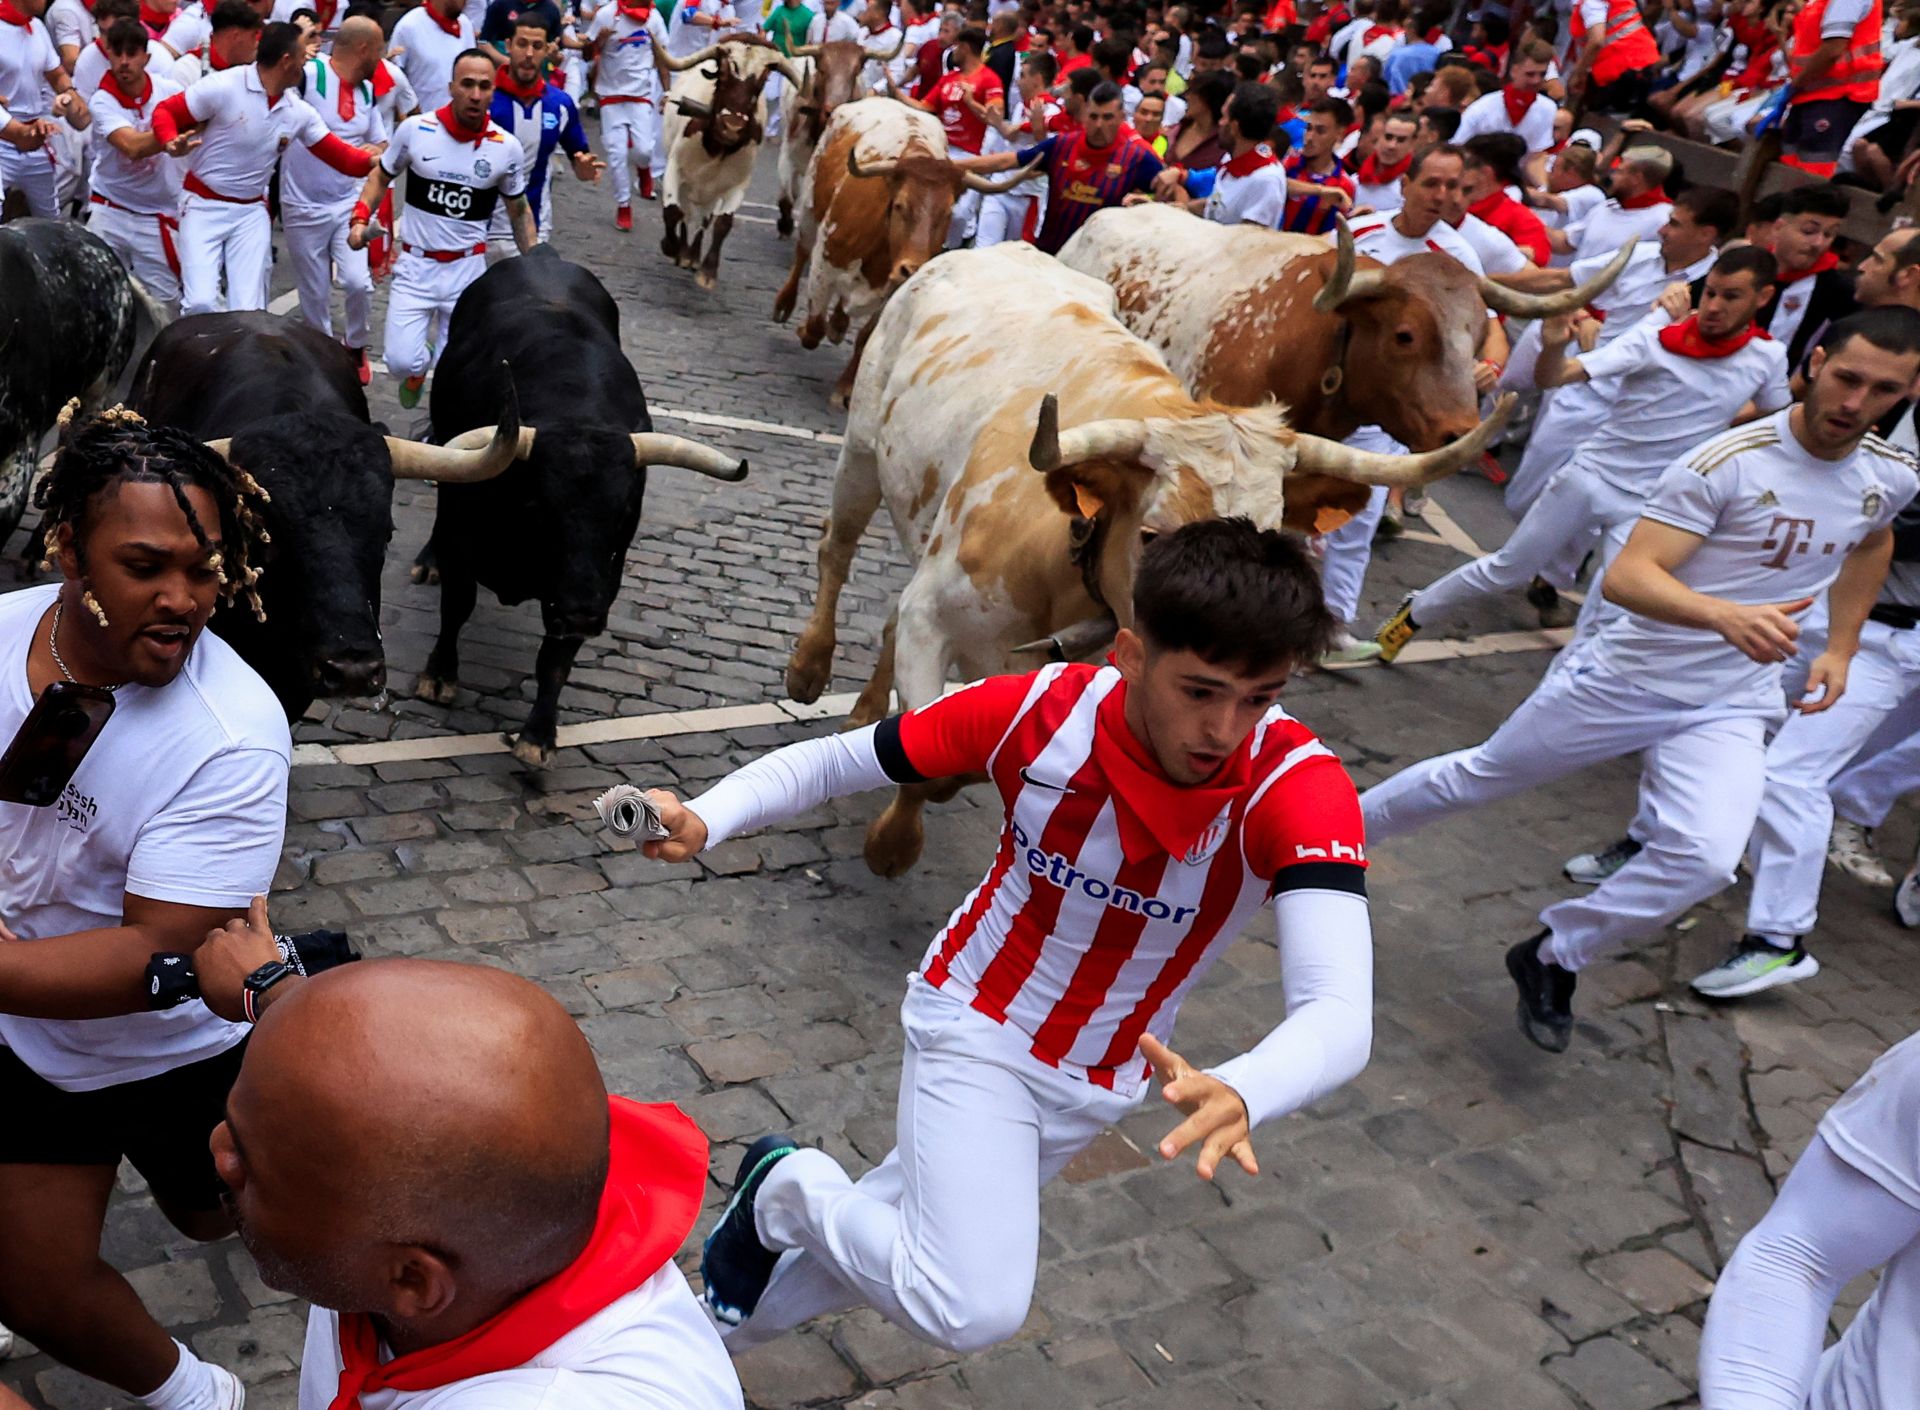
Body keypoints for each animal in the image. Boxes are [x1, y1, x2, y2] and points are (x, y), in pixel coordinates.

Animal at [422, 247, 748, 768]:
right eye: (539, 506)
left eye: (625, 513)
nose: (584, 614)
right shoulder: (462, 538)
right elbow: (457, 606)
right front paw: (438, 676)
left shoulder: (598, 579)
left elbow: (554, 664)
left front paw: (538, 737)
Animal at [660, 35, 802, 288]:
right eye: (724, 71)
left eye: (763, 79)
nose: (732, 126)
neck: (717, 148)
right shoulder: (675, 169)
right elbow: (673, 212)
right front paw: (671, 246)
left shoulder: (737, 185)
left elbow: (723, 223)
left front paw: (707, 271)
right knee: (686, 213)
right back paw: (683, 253)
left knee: (703, 219)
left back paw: (692, 256)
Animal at [771, 96, 1036, 405]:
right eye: (899, 205)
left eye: (947, 212)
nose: (912, 268)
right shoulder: (825, 262)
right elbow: (814, 326)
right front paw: (806, 329)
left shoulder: (895, 290)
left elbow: (866, 336)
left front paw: (845, 387)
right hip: (811, 207)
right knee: (801, 250)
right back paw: (785, 303)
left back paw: (838, 323)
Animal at [787, 247, 1505, 879]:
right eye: (1153, 535)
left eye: (1276, 541)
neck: (1067, 552)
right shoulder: (934, 614)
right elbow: (927, 757)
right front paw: (890, 845)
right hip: (861, 450)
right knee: (835, 550)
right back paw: (809, 667)